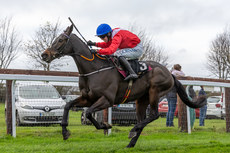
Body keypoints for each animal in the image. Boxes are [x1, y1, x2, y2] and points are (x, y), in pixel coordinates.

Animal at [41, 24, 207, 148]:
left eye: (61, 40)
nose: (44, 55)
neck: (94, 69)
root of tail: (170, 73)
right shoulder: (87, 98)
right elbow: (68, 105)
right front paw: (65, 132)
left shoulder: (107, 99)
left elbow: (88, 113)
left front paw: (105, 126)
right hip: (141, 100)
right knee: (141, 121)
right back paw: (131, 142)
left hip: (155, 92)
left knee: (153, 115)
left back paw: (132, 131)